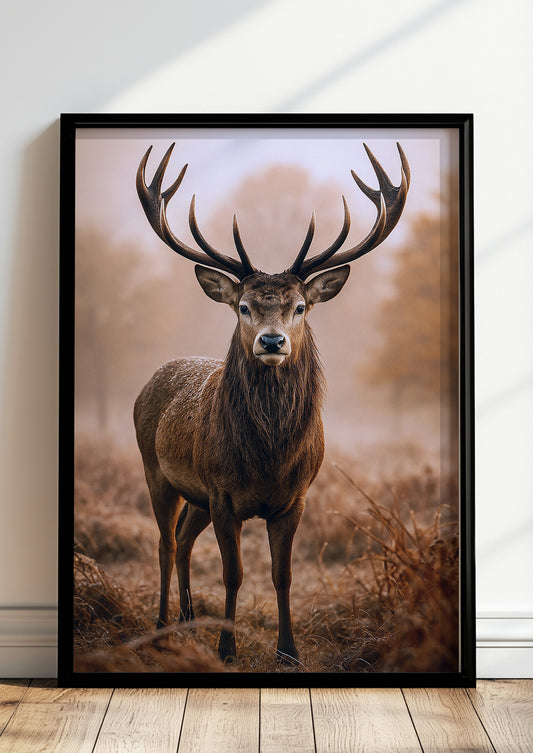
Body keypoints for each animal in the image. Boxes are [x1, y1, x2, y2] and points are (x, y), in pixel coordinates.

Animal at [133, 141, 410, 664]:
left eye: (299, 307)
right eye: (243, 307)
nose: (272, 341)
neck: (269, 459)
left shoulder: (294, 497)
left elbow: (283, 575)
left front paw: (289, 651)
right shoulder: (222, 493)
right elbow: (234, 574)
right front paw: (226, 648)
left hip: (196, 495)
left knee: (182, 540)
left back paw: (187, 621)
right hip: (157, 470)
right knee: (164, 542)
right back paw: (161, 627)